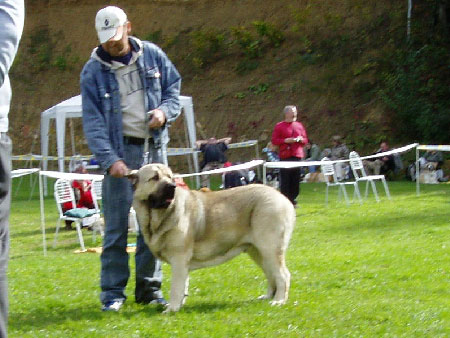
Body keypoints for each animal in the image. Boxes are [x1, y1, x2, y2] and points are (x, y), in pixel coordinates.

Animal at [128, 162, 296, 312]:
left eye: (170, 177)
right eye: (155, 177)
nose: (172, 186)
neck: (160, 216)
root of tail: (281, 197)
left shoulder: (179, 259)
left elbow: (176, 288)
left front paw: (171, 309)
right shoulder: (182, 263)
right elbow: (183, 286)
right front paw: (178, 306)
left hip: (270, 248)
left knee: (283, 275)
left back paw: (278, 301)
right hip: (257, 251)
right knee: (271, 275)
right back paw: (268, 297)